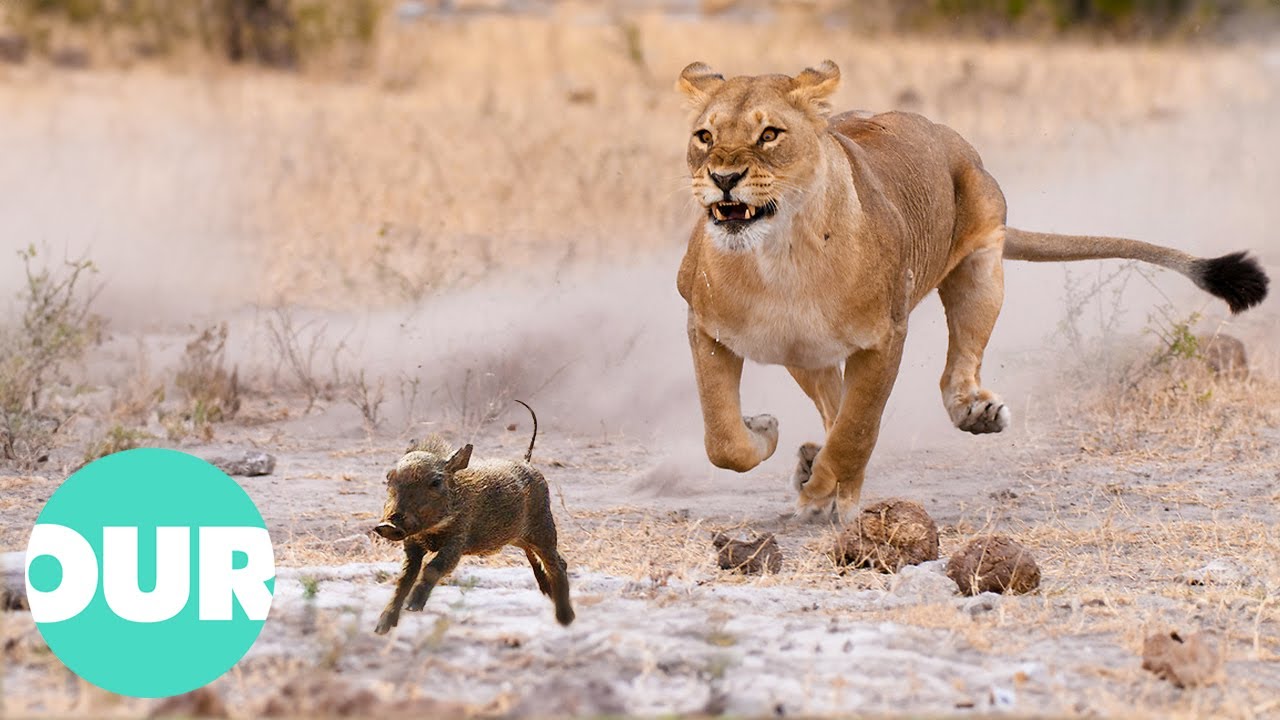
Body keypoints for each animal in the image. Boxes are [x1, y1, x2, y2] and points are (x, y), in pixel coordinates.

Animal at [674, 60, 1270, 519]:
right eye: (705, 136)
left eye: (769, 134)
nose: (723, 178)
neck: (780, 258)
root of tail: (950, 136)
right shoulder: (706, 327)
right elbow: (724, 439)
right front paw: (766, 433)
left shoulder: (886, 337)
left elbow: (856, 432)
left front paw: (818, 486)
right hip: (808, 350)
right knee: (832, 405)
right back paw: (810, 464)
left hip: (982, 265)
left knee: (954, 366)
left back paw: (964, 419)